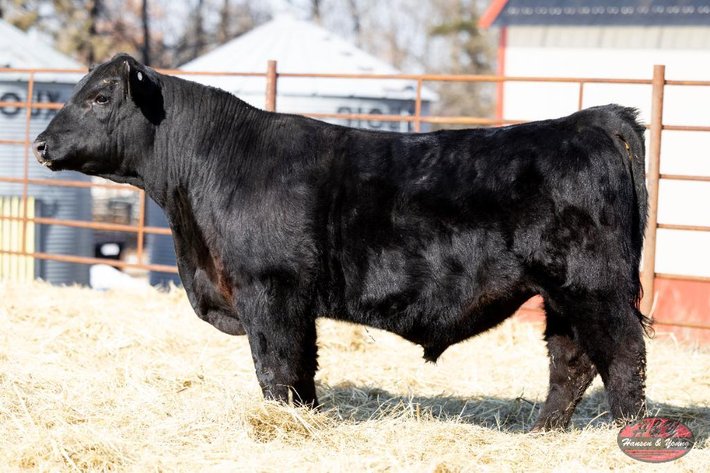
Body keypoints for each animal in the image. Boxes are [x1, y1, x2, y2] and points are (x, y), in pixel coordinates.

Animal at [33, 54, 651, 431]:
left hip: (593, 285)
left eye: (101, 96)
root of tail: (588, 119)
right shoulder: (293, 301)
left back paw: (628, 432)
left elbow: (276, 367)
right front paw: (306, 420)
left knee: (623, 357)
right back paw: (542, 434)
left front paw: (285, 424)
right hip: (561, 293)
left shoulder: (270, 291)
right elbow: (302, 371)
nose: (39, 144)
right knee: (570, 361)